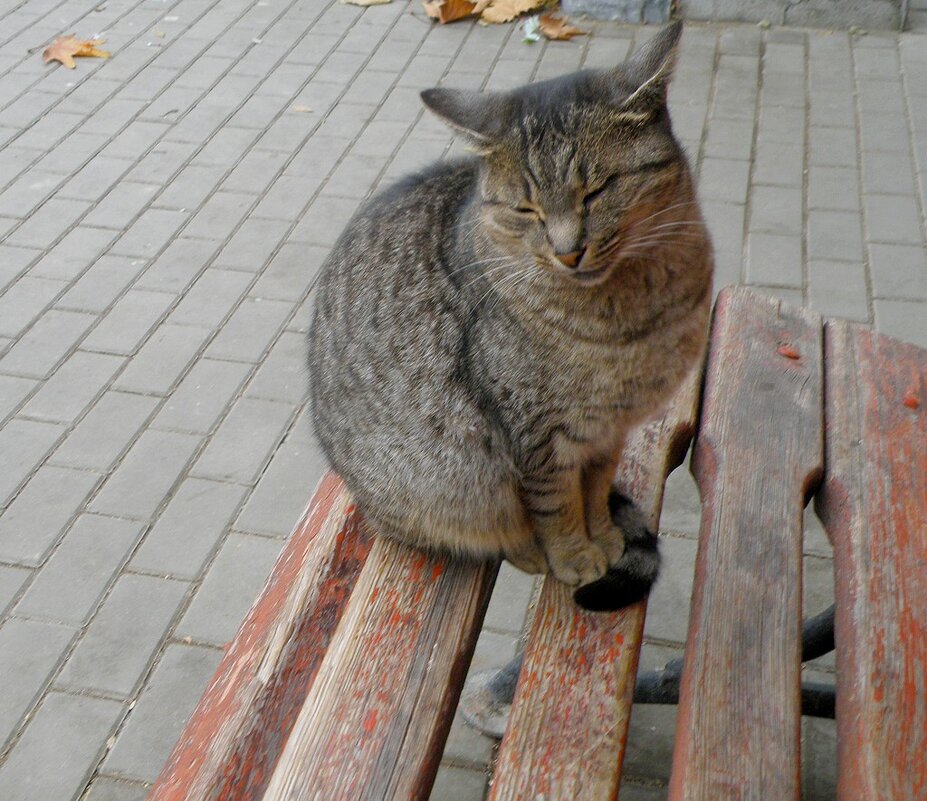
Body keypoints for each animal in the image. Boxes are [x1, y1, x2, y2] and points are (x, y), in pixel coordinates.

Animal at [308, 21, 716, 612]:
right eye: (527, 209)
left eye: (598, 190)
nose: (568, 251)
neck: (632, 316)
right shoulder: (536, 437)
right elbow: (556, 506)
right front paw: (574, 554)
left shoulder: (606, 433)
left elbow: (595, 492)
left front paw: (604, 535)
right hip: (443, 483)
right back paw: (524, 548)